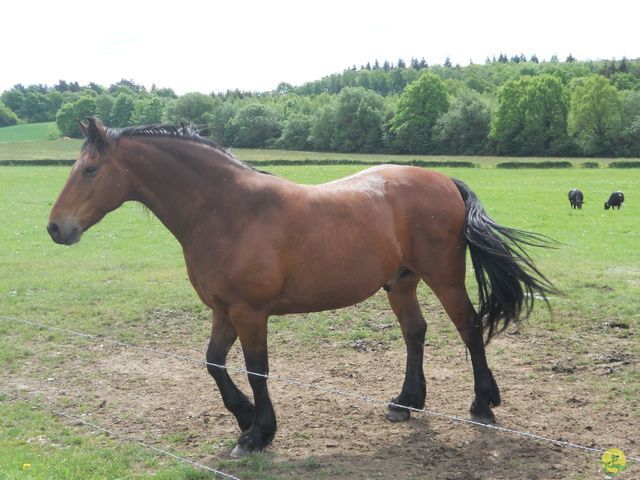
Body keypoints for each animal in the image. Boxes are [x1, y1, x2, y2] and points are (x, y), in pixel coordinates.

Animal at [47, 118, 556, 456]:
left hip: (444, 276)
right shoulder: (222, 309)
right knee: (416, 332)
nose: (56, 228)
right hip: (401, 283)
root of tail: (443, 179)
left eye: (89, 169)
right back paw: (405, 402)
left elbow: (257, 369)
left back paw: (482, 404)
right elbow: (214, 363)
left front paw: (258, 433)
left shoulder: (249, 312)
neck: (225, 209)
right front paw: (246, 417)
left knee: (469, 328)